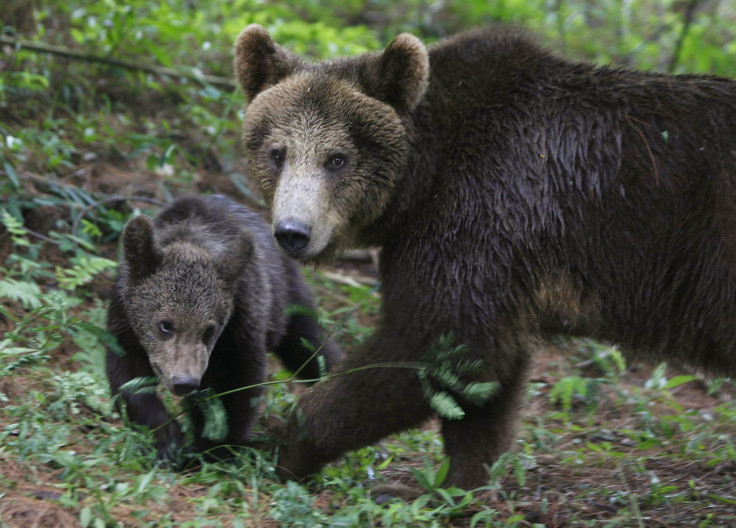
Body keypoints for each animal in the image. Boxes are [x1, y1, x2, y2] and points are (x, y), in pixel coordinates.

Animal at [233, 22, 736, 488]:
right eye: (277, 153)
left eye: (337, 158)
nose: (293, 233)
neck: (424, 178)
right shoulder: (500, 259)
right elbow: (481, 378)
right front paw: (462, 481)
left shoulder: (483, 211)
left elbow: (437, 342)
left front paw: (292, 441)